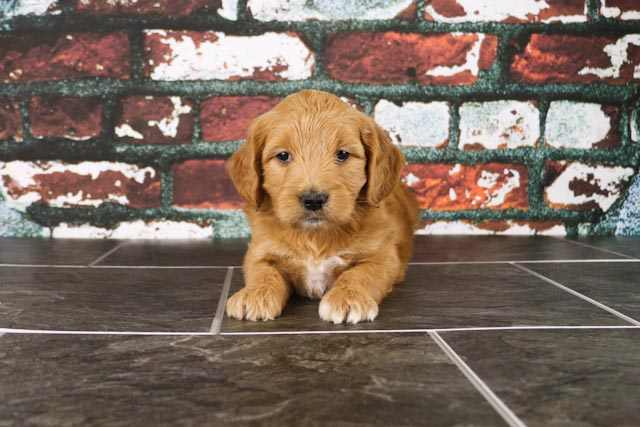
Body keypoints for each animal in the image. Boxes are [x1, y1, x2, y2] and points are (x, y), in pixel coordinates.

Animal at [225, 89, 420, 324]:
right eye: (283, 155)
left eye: (342, 154)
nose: (313, 199)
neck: (314, 236)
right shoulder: (259, 252)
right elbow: (263, 272)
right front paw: (254, 294)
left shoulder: (383, 257)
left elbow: (359, 274)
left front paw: (348, 297)